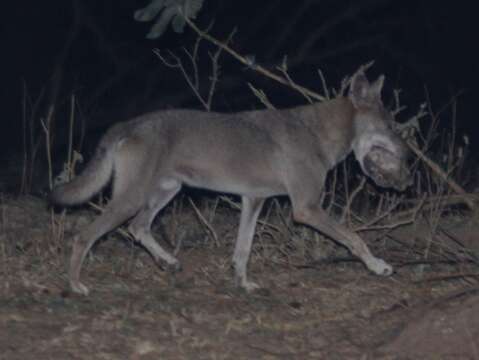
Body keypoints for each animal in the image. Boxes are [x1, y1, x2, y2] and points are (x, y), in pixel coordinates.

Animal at [51, 69, 412, 296]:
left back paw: (168, 262)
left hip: (165, 192)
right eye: (391, 127)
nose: (409, 156)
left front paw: (244, 285)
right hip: (133, 198)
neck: (316, 134)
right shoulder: (306, 209)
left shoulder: (254, 201)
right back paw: (75, 286)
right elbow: (355, 238)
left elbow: (242, 250)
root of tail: (126, 125)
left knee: (138, 228)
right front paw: (378, 266)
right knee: (84, 236)